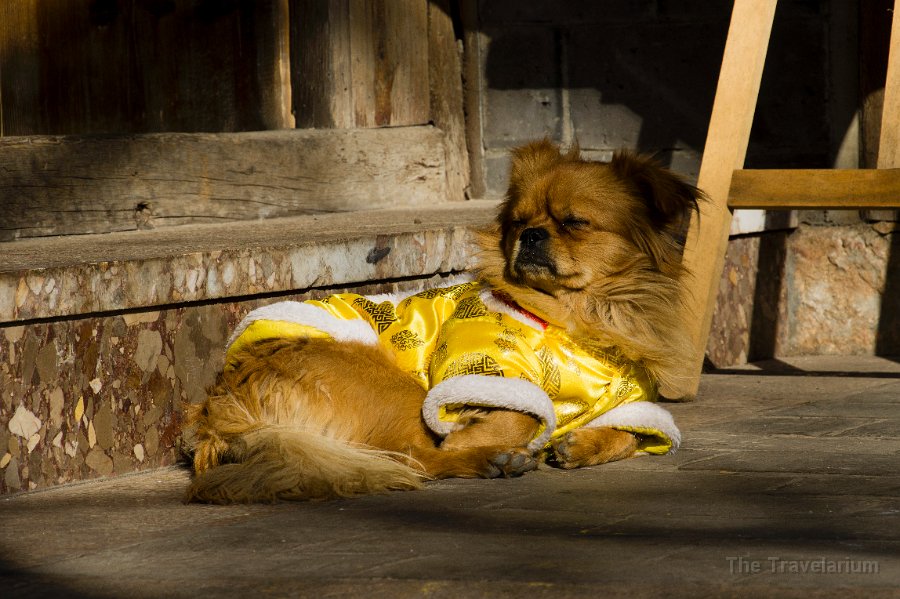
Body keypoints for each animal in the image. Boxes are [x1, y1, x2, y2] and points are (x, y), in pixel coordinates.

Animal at [185, 143, 704, 504]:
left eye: (574, 222)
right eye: (519, 223)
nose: (532, 235)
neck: (584, 317)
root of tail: (224, 407)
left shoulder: (625, 403)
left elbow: (629, 434)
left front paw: (581, 444)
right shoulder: (481, 368)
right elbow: (518, 414)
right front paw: (485, 437)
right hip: (397, 388)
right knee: (416, 457)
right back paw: (493, 460)